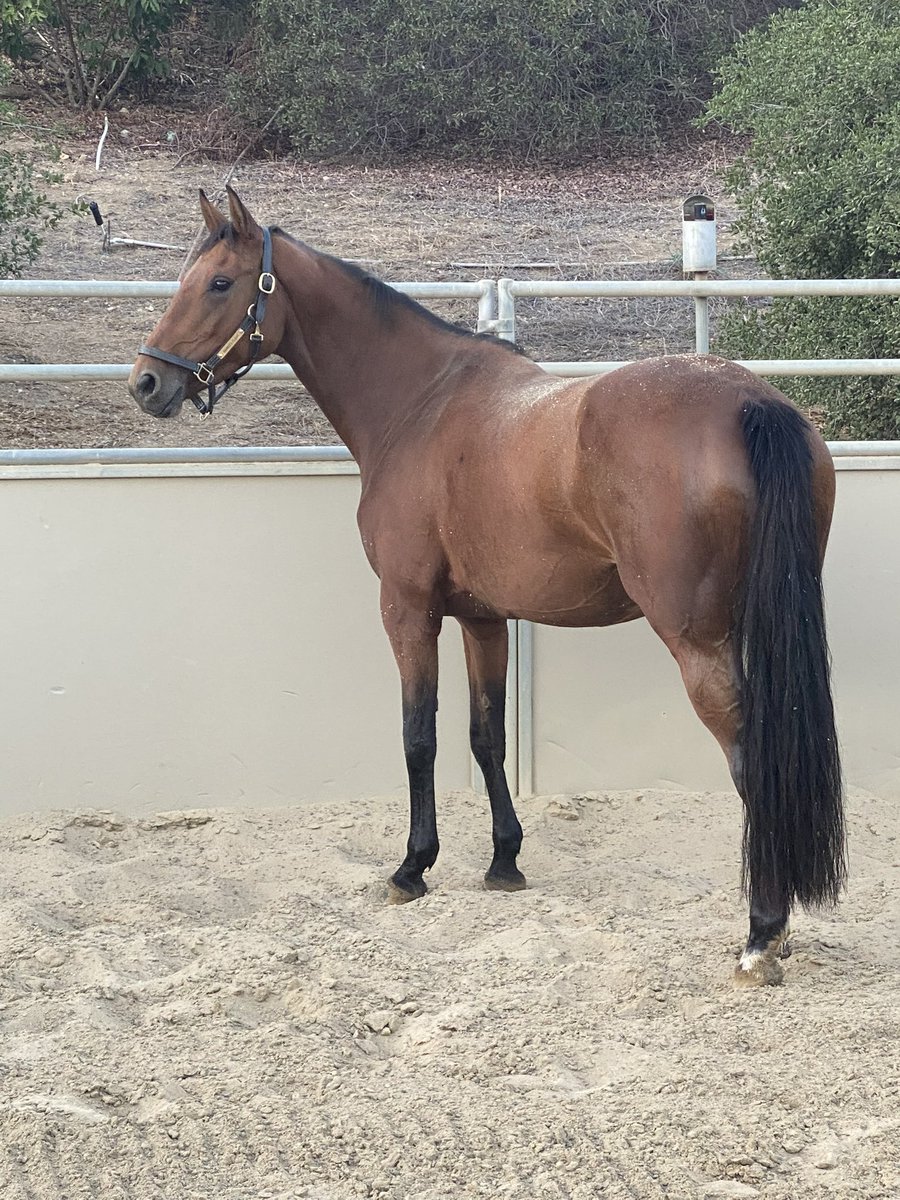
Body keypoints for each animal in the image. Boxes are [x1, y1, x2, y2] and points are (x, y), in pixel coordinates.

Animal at [129, 187, 845, 986]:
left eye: (220, 283)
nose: (146, 383)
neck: (420, 404)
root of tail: (750, 401)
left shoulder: (407, 609)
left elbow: (418, 735)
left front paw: (412, 868)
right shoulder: (482, 619)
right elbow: (485, 735)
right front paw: (505, 860)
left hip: (696, 640)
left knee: (751, 761)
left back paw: (762, 934)